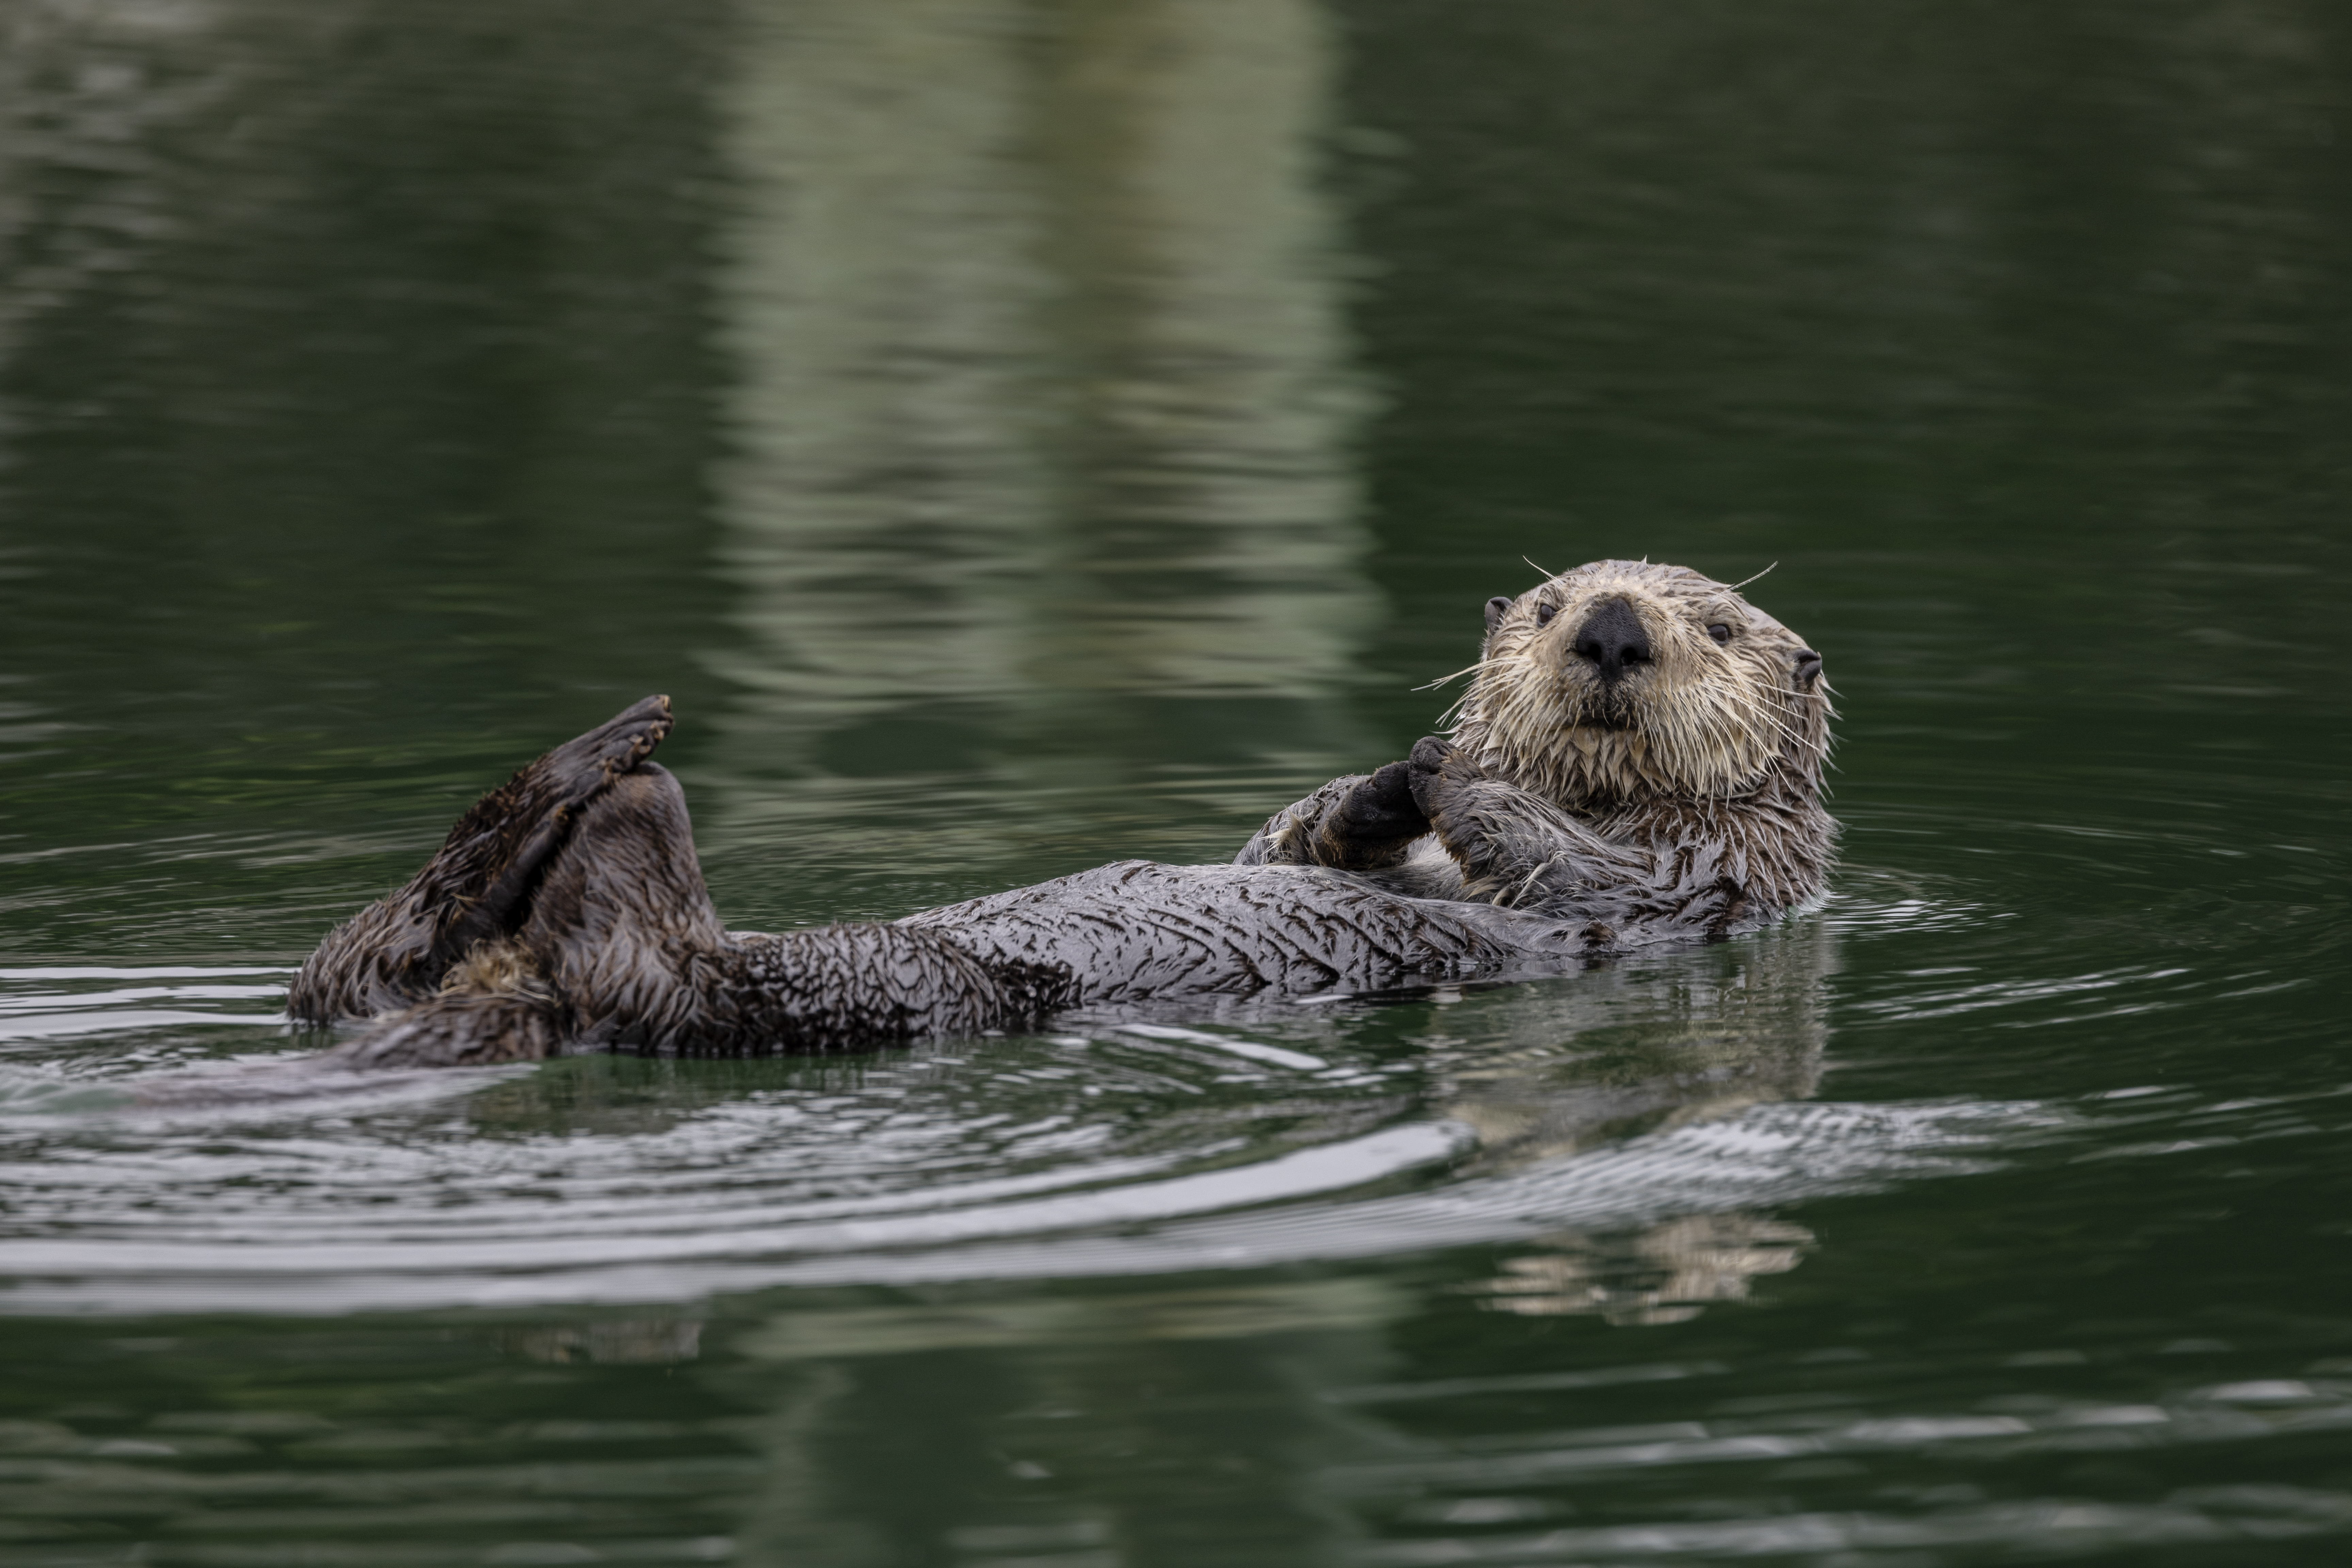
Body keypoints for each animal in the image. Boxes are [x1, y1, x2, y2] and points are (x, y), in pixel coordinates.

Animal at [213, 558, 1828, 1079]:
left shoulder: (1708, 878)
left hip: (854, 986)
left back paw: (619, 783)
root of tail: (507, 988)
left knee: (656, 972)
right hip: (399, 972)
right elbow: (1275, 840)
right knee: (355, 961)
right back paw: (585, 761)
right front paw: (1381, 778)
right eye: (1551, 603)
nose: (1611, 627)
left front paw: (1445, 771)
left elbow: (1579, 871)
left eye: (1715, 624)